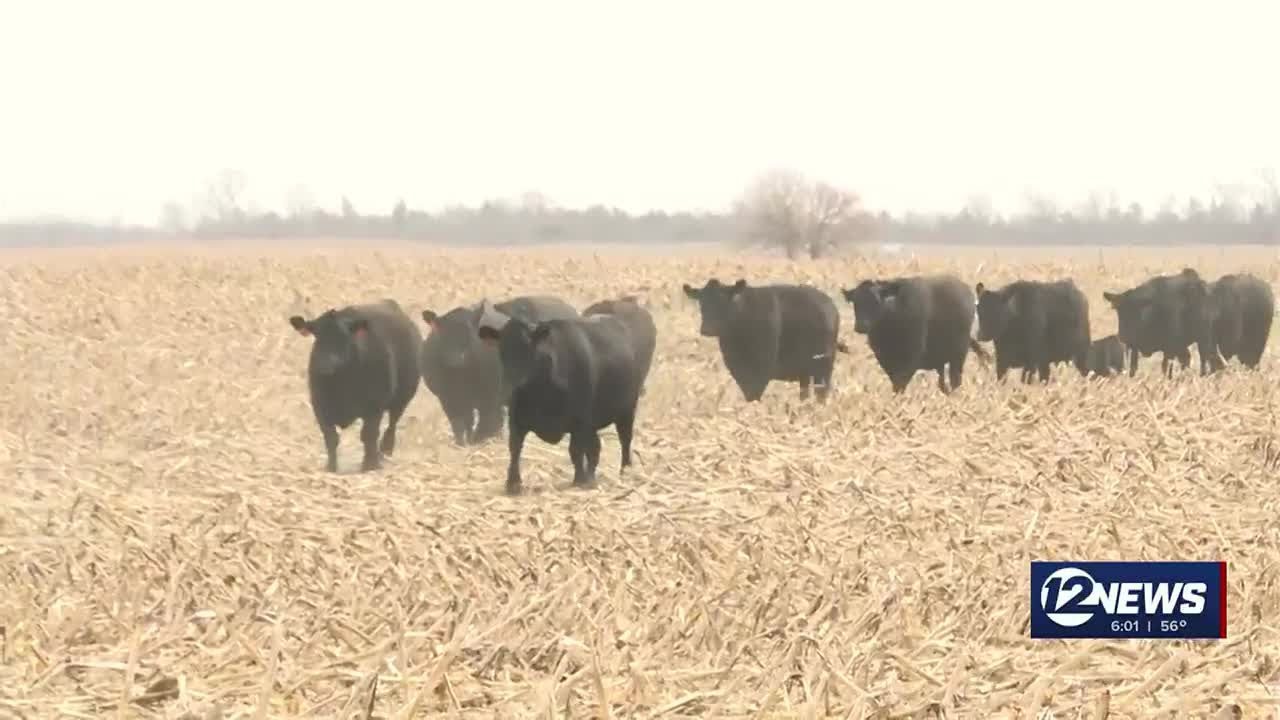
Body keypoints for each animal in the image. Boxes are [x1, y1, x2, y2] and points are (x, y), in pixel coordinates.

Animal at [288, 299, 422, 473]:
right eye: (317, 337)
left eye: (344, 338)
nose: (325, 365)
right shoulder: (320, 405)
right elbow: (331, 438)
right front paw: (331, 467)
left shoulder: (374, 406)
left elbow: (368, 435)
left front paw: (369, 465)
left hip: (402, 398)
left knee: (391, 424)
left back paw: (384, 452)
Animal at [419, 295, 578, 446]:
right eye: (442, 333)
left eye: (470, 333)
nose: (456, 358)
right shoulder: (448, 399)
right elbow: (460, 425)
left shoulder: (489, 397)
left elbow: (485, 421)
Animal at [476, 306, 649, 495]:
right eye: (502, 349)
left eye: (529, 348)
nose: (513, 385)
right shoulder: (516, 419)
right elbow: (515, 449)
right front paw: (512, 483)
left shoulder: (579, 420)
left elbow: (575, 450)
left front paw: (579, 480)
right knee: (595, 448)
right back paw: (592, 476)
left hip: (626, 410)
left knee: (624, 440)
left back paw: (624, 471)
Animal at [681, 279, 848, 402]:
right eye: (702, 303)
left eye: (723, 302)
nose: (707, 329)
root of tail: (830, 306)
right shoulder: (739, 370)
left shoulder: (761, 370)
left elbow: (754, 395)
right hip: (805, 370)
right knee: (805, 393)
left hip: (824, 368)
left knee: (821, 393)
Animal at [841, 275, 989, 394]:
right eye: (855, 302)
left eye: (876, 302)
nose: (861, 326)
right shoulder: (884, 359)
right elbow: (895, 382)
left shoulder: (912, 357)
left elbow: (900, 383)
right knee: (943, 383)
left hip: (958, 355)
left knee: (955, 381)